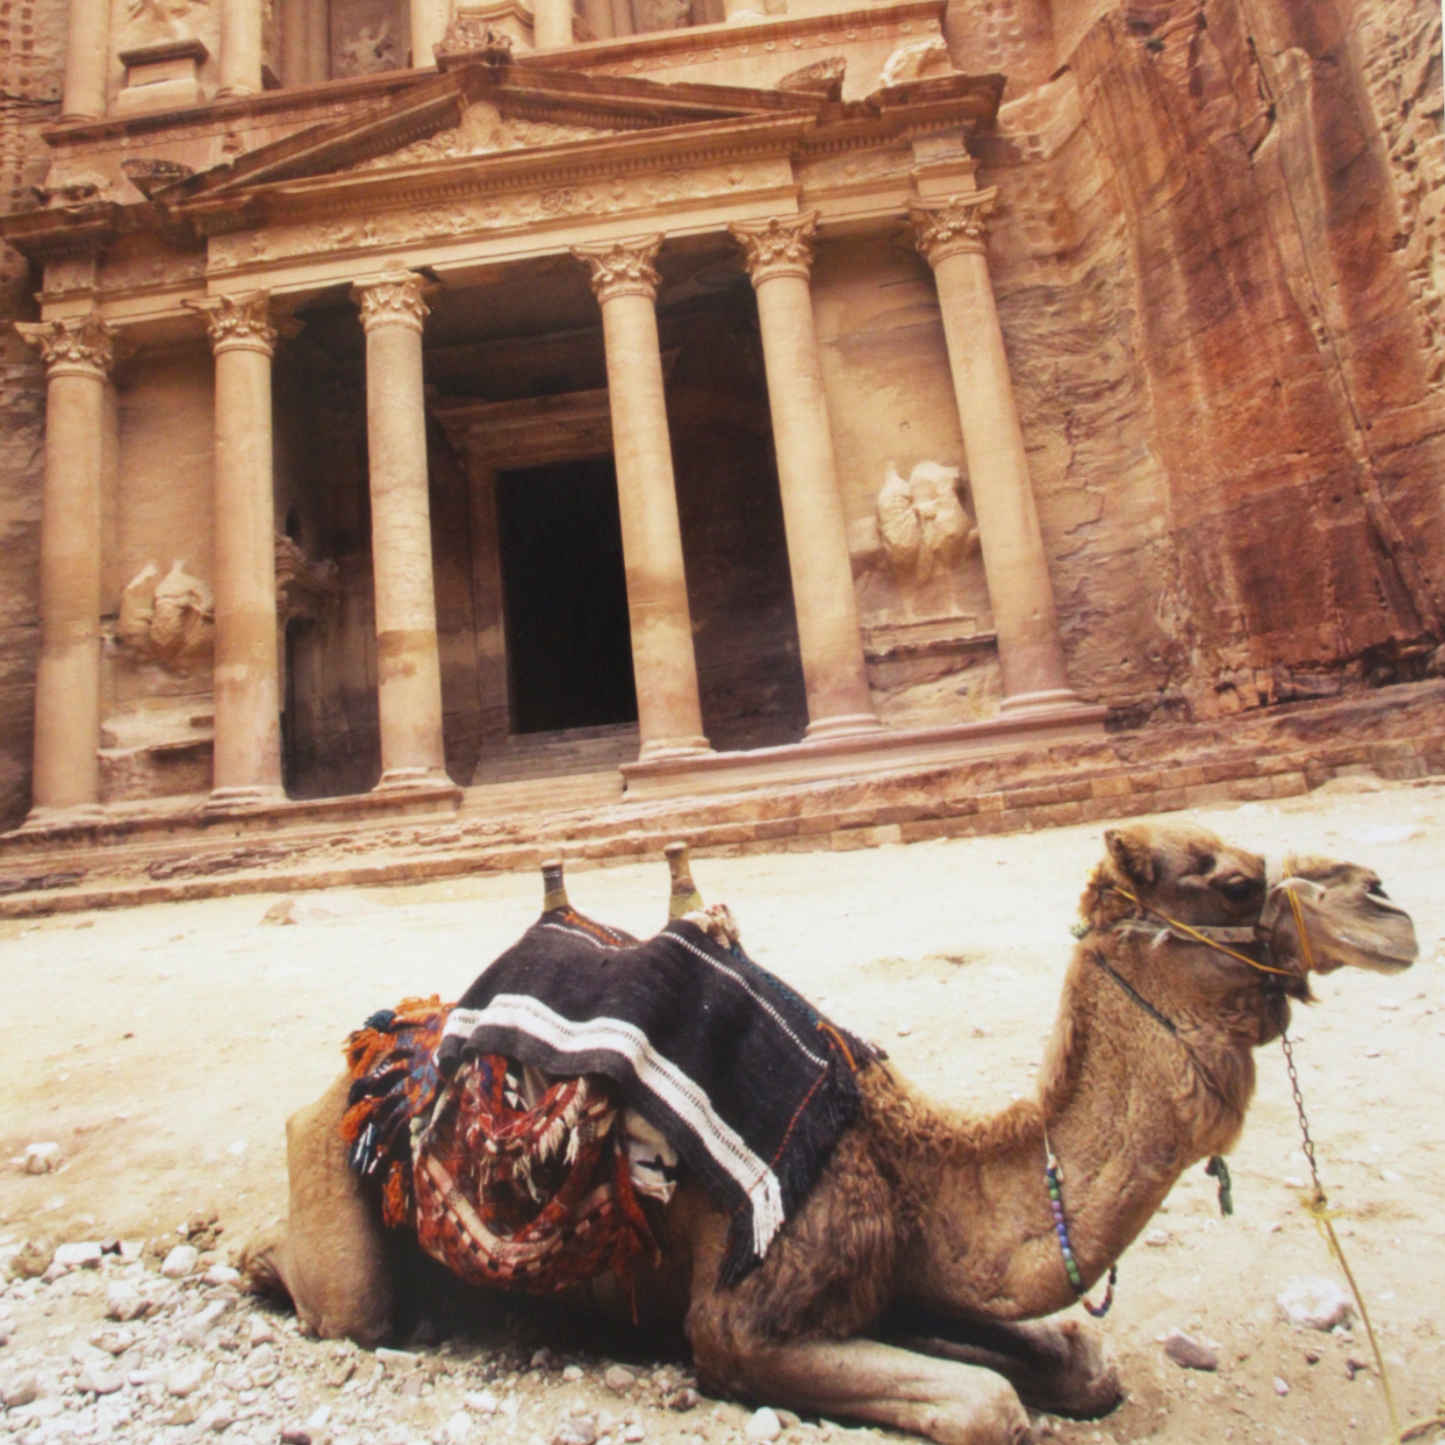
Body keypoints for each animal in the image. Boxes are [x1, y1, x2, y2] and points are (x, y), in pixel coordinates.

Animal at [241, 821, 1417, 1445]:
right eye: (1231, 875)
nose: (1385, 901)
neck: (905, 1158)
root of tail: (380, 1054)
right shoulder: (742, 1320)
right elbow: (987, 1404)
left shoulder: (906, 1268)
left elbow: (1078, 1360)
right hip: (337, 1201)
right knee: (341, 1296)